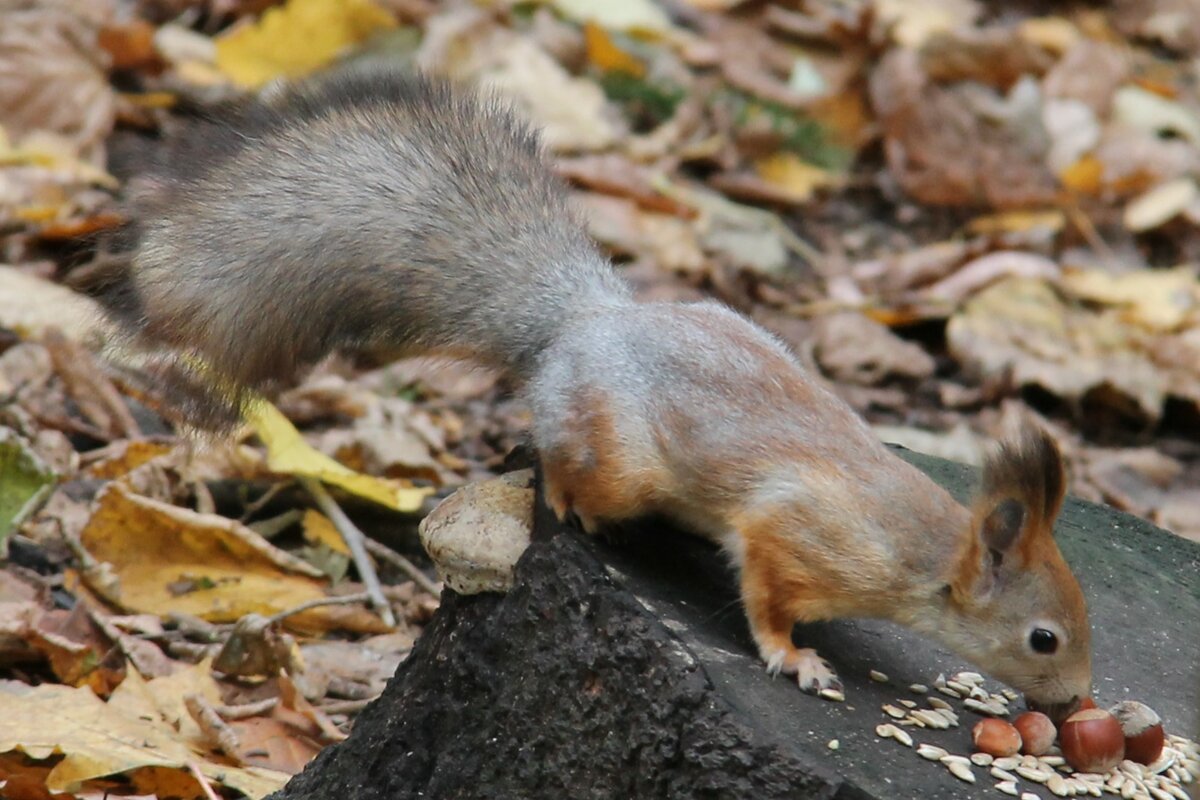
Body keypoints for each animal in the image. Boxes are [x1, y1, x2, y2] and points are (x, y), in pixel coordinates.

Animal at [101, 67, 1091, 721]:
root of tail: (584, 323)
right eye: (1043, 637)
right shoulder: (802, 532)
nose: (1079, 703)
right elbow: (768, 593)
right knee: (561, 462)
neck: (919, 550)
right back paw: (579, 507)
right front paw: (795, 659)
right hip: (620, 457)